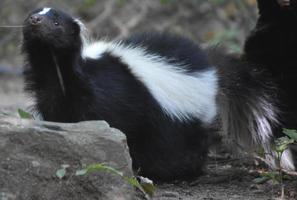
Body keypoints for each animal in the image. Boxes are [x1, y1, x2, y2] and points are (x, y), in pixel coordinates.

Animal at [20, 6, 292, 181]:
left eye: (56, 23)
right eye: (34, 14)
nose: (34, 20)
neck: (57, 71)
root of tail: (210, 66)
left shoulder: (110, 96)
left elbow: (114, 124)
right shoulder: (53, 97)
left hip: (177, 124)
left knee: (176, 149)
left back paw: (179, 174)